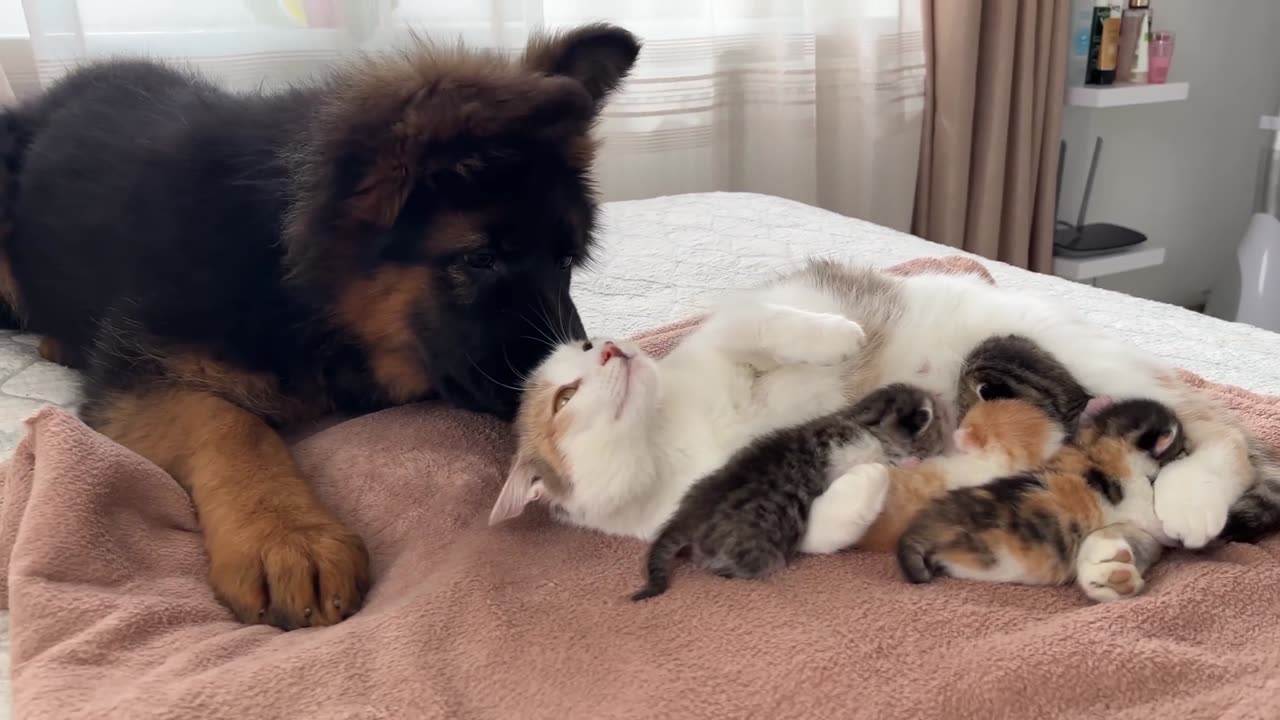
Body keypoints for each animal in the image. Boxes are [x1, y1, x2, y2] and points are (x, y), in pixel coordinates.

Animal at [0, 23, 640, 627]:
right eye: (479, 259)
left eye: (565, 261)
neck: (278, 258)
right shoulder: (140, 375)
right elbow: (230, 422)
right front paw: (286, 534)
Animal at [494, 257, 1264, 548]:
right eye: (565, 394)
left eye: (585, 344)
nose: (611, 349)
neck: (672, 432)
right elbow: (819, 527)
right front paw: (862, 491)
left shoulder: (733, 327)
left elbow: (765, 325)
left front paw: (837, 336)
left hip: (1075, 360)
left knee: (1219, 430)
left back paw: (1192, 498)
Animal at [632, 381, 952, 599]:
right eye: (936, 429)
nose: (940, 404)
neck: (860, 421)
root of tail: (688, 516)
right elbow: (888, 461)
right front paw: (909, 459)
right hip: (760, 553)